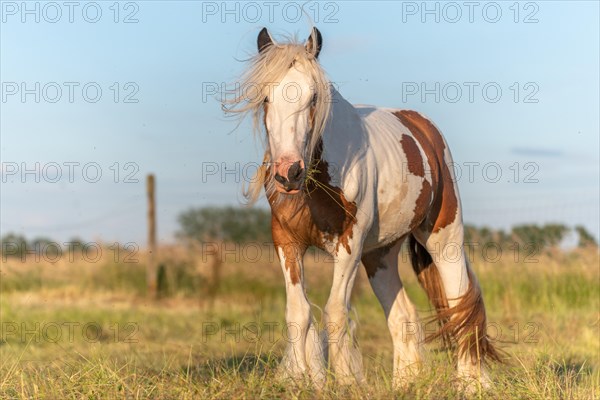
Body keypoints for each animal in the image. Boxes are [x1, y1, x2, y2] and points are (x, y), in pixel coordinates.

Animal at [223, 26, 500, 390]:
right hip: (380, 256)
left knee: (460, 302)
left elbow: (335, 311)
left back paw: (473, 383)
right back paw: (405, 385)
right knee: (403, 315)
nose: (288, 172)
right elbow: (298, 312)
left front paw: (344, 382)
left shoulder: (349, 244)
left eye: (314, 98)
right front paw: (305, 381)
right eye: (266, 98)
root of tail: (424, 129)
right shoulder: (286, 241)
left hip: (444, 238)